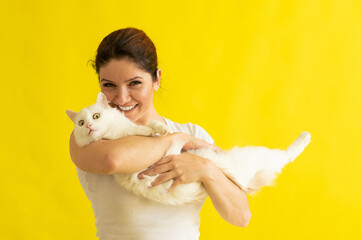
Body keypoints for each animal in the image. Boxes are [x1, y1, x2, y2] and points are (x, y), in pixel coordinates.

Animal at [67, 93, 310, 205]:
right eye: (81, 123)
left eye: (96, 116)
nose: (88, 126)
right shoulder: (120, 143)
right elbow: (141, 132)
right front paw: (154, 133)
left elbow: (151, 126)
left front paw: (159, 128)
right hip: (254, 156)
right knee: (284, 156)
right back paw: (305, 136)